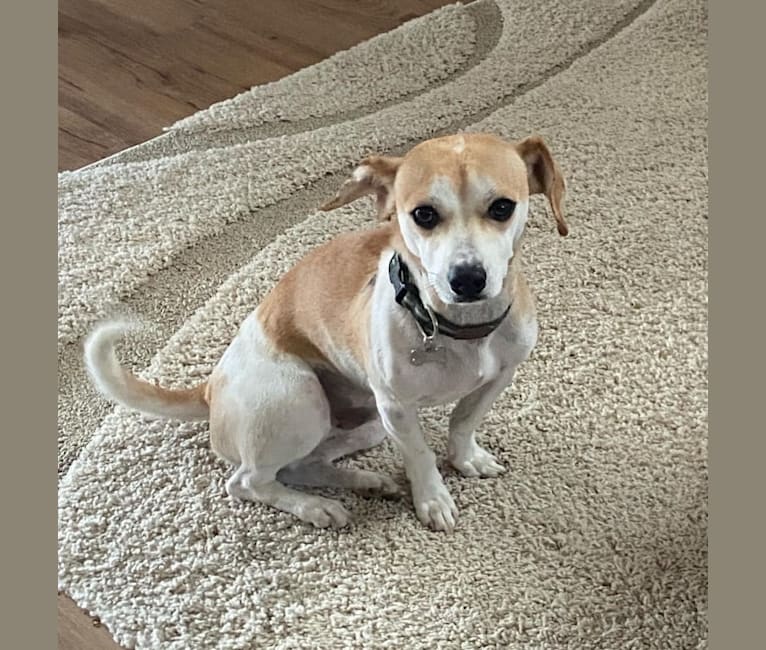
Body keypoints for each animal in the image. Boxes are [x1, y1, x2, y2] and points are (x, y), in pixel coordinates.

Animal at [84, 132, 568, 532]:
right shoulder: (397, 408)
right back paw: (317, 507)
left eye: (502, 207)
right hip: (300, 402)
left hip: (367, 424)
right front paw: (433, 500)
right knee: (248, 481)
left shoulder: (497, 377)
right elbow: (420, 455)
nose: (466, 278)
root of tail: (209, 389)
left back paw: (366, 482)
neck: (460, 329)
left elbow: (462, 423)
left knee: (303, 464)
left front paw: (466, 460)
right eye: (424, 215)